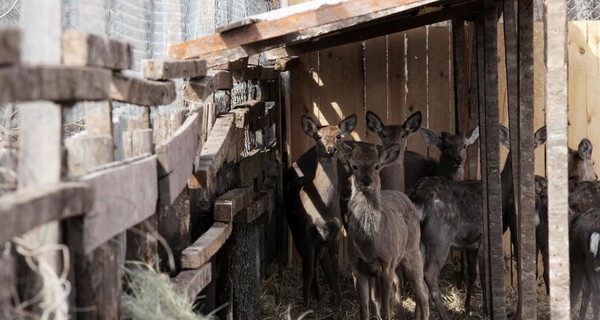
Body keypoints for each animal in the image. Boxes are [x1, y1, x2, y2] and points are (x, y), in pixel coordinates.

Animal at [286, 114, 356, 306]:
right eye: (318, 136)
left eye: (338, 135)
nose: (330, 149)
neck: (324, 210)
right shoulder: (308, 234)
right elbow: (308, 270)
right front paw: (305, 304)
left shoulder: (335, 235)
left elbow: (334, 270)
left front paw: (339, 303)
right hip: (296, 232)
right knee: (309, 264)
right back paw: (313, 295)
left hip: (321, 243)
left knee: (319, 262)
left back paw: (318, 294)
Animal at [338, 142, 432, 320]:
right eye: (354, 166)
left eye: (377, 166)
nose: (366, 180)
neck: (369, 245)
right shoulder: (356, 267)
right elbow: (365, 309)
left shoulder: (386, 265)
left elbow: (385, 309)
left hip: (412, 251)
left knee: (422, 291)